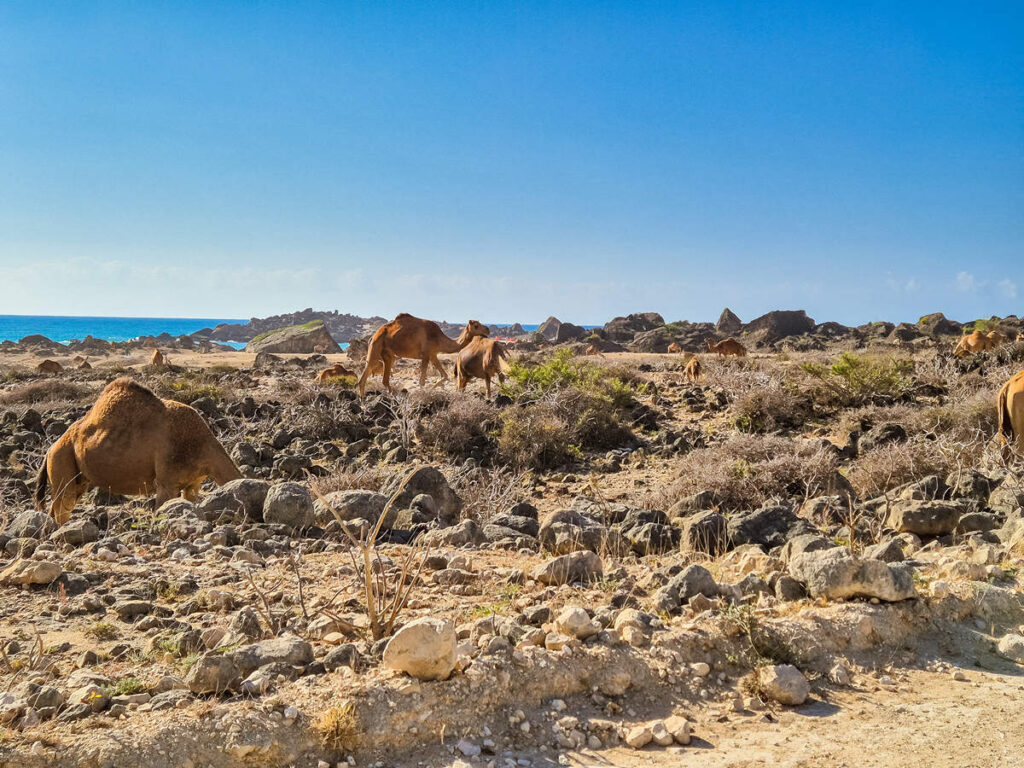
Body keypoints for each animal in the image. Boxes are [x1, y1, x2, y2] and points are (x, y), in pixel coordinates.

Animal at [32, 376, 241, 528]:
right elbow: (160, 511)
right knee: (60, 508)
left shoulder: (192, 485)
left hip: (78, 478)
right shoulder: (166, 482)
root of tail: (49, 451)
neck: (200, 444)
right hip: (62, 464)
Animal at [358, 313, 489, 397]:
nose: (487, 330)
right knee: (367, 371)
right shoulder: (426, 354)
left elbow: (445, 375)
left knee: (385, 378)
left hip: (388, 354)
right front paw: (425, 393)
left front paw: (432, 388)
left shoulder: (433, 354)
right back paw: (363, 401)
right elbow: (422, 380)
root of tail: (373, 336)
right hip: (376, 346)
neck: (438, 338)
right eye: (476, 325)